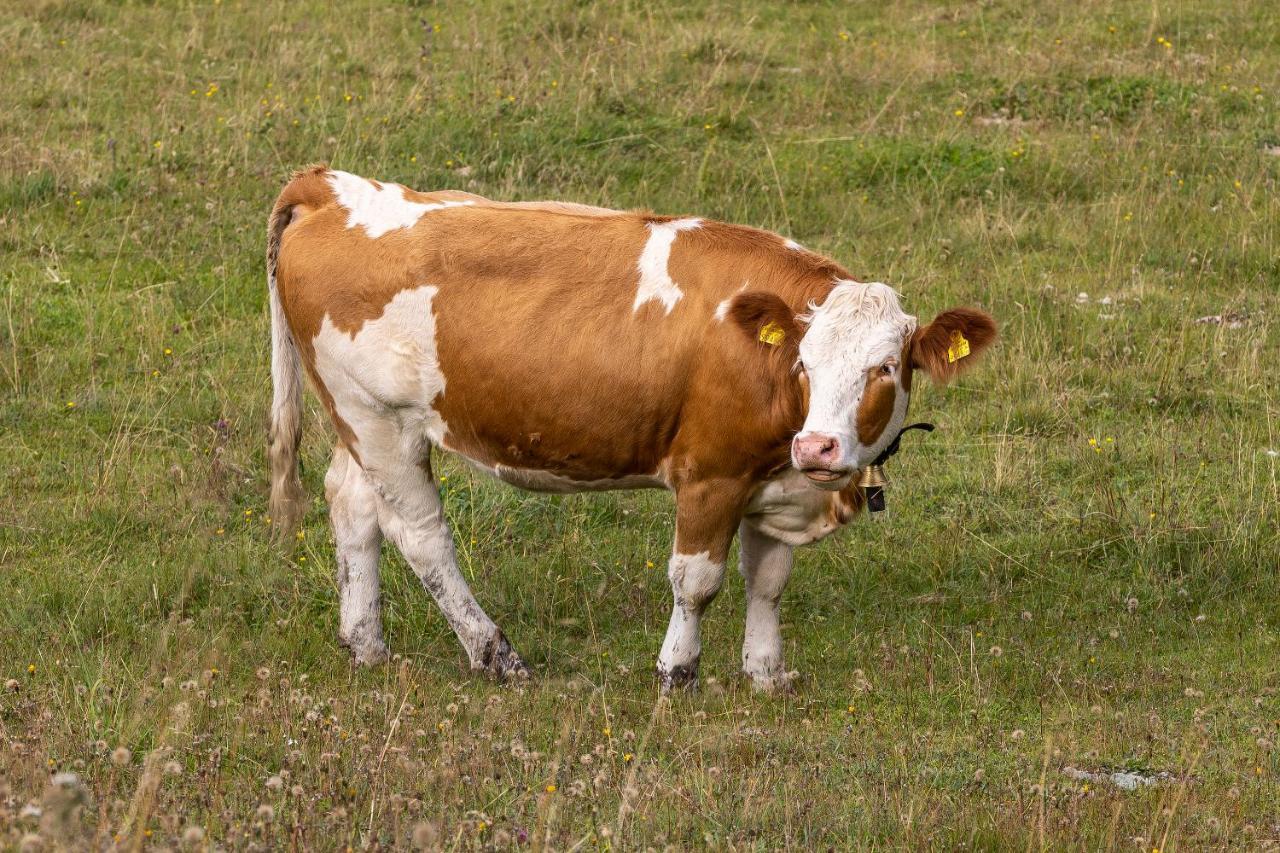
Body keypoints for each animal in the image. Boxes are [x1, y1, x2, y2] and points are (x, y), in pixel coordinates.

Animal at [264, 163, 993, 691]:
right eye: (805, 363)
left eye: (885, 367)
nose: (818, 445)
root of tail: (333, 186)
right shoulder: (711, 473)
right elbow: (696, 581)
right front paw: (678, 671)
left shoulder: (775, 476)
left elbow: (768, 578)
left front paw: (766, 673)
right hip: (380, 421)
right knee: (421, 536)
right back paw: (496, 654)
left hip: (357, 419)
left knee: (353, 507)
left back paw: (366, 643)